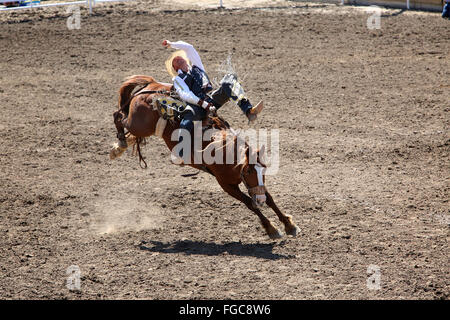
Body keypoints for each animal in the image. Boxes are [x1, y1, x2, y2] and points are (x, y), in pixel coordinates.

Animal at [110, 75, 298, 239]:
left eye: (263, 171)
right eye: (249, 171)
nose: (259, 198)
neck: (225, 152)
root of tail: (151, 85)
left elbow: (269, 197)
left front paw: (289, 225)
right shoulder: (225, 184)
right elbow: (249, 203)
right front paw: (271, 228)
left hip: (142, 128)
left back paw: (118, 147)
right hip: (138, 124)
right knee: (118, 116)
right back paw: (120, 144)